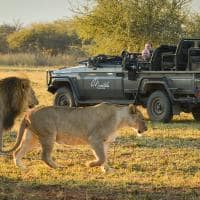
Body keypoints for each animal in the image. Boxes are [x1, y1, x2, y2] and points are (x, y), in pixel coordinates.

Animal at [4, 103, 147, 172]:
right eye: (141, 118)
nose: (146, 128)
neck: (120, 120)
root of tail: (28, 113)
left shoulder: (105, 142)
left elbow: (105, 157)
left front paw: (107, 170)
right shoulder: (94, 139)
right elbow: (101, 157)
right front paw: (89, 164)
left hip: (31, 137)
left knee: (17, 152)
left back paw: (22, 168)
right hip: (48, 135)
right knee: (44, 156)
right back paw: (58, 167)